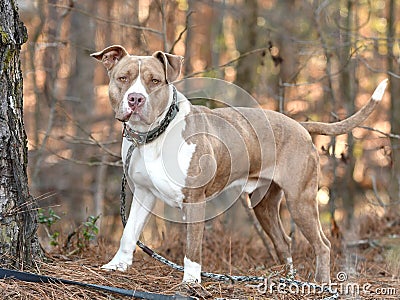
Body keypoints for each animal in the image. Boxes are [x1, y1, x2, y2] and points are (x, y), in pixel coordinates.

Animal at [91, 45, 388, 284]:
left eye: (154, 81)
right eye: (123, 78)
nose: (135, 99)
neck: (153, 136)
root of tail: (300, 125)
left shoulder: (195, 201)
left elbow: (192, 247)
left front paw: (191, 281)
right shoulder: (143, 194)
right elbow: (128, 233)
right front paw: (116, 265)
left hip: (300, 200)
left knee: (323, 245)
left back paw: (321, 284)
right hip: (264, 205)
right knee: (284, 242)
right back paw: (286, 279)